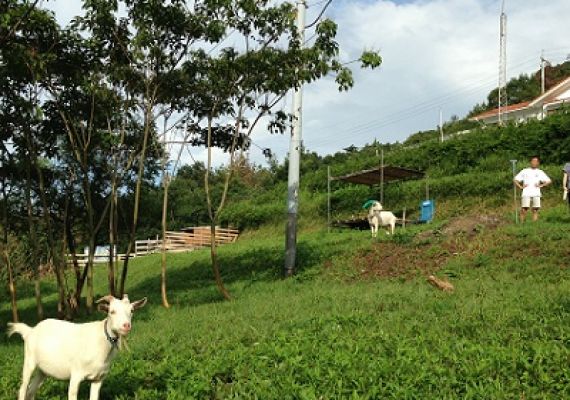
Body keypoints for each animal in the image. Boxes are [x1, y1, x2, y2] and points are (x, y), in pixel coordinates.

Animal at [7, 294, 145, 400]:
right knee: (23, 389)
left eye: (132, 311)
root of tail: (30, 331)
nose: (126, 326)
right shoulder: (76, 375)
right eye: (112, 311)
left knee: (31, 391)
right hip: (29, 361)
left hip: (43, 370)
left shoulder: (98, 379)